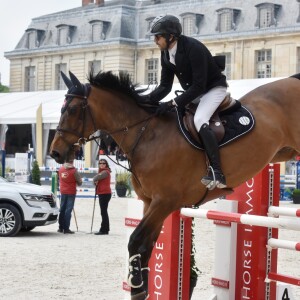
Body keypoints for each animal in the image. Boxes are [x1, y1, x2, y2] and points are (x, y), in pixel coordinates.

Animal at [49, 71, 300, 300]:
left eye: (72, 110)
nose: (55, 153)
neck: (147, 135)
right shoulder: (150, 202)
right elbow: (146, 245)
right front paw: (142, 288)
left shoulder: (165, 202)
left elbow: (136, 240)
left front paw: (137, 286)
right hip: (284, 152)